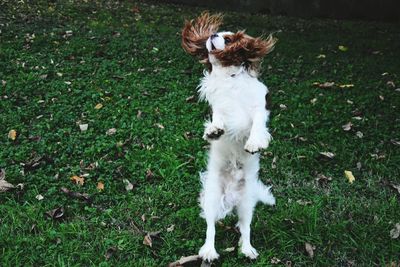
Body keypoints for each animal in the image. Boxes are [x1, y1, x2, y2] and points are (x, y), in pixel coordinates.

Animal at [183, 12, 276, 262]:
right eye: (218, 34)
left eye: (229, 38)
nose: (212, 34)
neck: (229, 78)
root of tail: (232, 199)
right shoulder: (219, 108)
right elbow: (218, 118)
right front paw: (214, 131)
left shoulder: (258, 107)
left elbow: (257, 124)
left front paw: (254, 142)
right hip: (212, 198)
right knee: (211, 228)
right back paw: (209, 251)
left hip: (246, 205)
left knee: (245, 228)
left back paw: (247, 249)